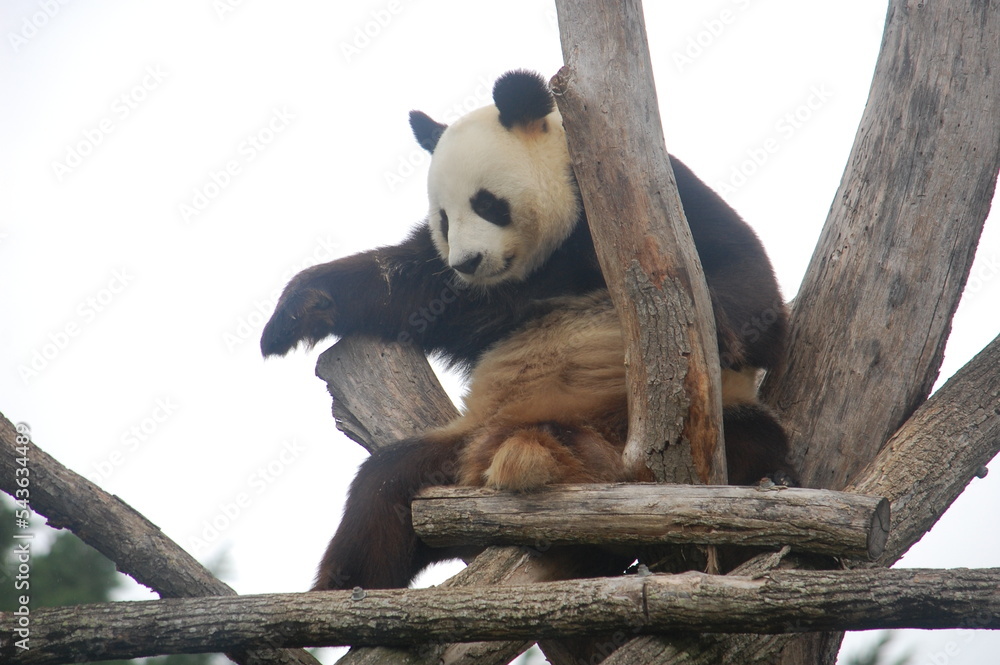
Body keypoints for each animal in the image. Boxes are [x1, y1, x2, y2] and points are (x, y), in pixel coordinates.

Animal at [262, 70, 795, 590]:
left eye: (487, 203)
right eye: (444, 219)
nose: (467, 261)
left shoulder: (656, 198)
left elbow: (749, 282)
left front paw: (722, 330)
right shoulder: (477, 290)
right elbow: (405, 283)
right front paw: (298, 312)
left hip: (691, 427)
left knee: (753, 440)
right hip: (454, 451)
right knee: (381, 495)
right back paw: (341, 587)